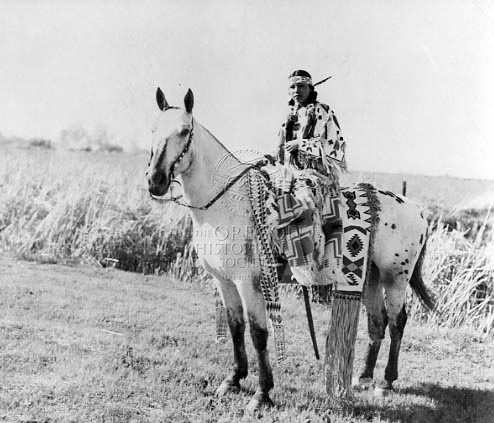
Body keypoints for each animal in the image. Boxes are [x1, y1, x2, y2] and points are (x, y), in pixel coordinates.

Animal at [147, 88, 436, 412]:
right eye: (153, 130)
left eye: (185, 131)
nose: (155, 181)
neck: (225, 203)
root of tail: (416, 209)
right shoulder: (224, 281)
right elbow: (236, 327)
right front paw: (233, 380)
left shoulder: (249, 282)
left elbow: (259, 333)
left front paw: (262, 394)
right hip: (369, 277)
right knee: (378, 321)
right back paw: (363, 378)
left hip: (395, 278)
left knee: (398, 322)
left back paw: (385, 384)